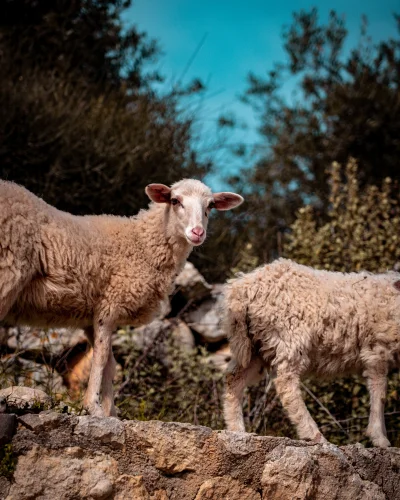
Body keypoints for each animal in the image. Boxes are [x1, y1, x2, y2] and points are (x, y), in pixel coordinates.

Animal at [0, 178, 244, 416]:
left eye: (210, 206)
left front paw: (111, 413)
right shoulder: (110, 303)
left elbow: (110, 363)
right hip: (8, 273)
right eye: (175, 201)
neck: (141, 244)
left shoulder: (92, 315)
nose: (197, 233)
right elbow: (101, 357)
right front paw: (93, 407)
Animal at [223, 258, 400, 446]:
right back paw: (314, 435)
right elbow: (380, 393)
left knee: (234, 378)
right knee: (286, 383)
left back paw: (237, 431)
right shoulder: (378, 349)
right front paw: (380, 438)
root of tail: (241, 289)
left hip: (255, 345)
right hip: (289, 337)